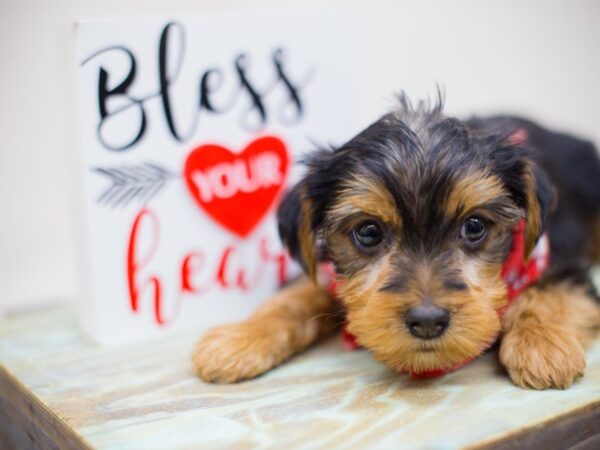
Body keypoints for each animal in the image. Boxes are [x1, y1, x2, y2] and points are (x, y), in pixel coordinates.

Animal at [192, 96, 600, 390]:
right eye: (368, 232)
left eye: (474, 227)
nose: (428, 322)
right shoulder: (324, 267)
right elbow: (294, 297)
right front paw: (239, 340)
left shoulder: (558, 255)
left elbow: (551, 290)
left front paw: (542, 344)